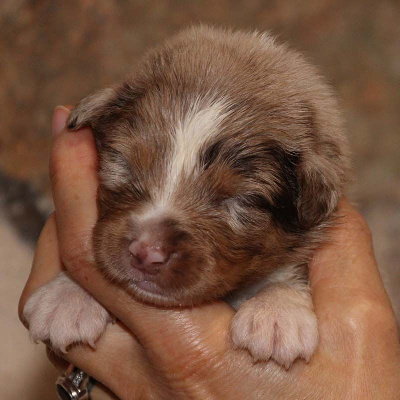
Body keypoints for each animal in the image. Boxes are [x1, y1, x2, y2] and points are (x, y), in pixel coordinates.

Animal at [25, 25, 350, 368]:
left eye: (243, 200)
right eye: (122, 164)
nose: (146, 252)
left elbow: (289, 269)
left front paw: (276, 311)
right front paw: (69, 293)